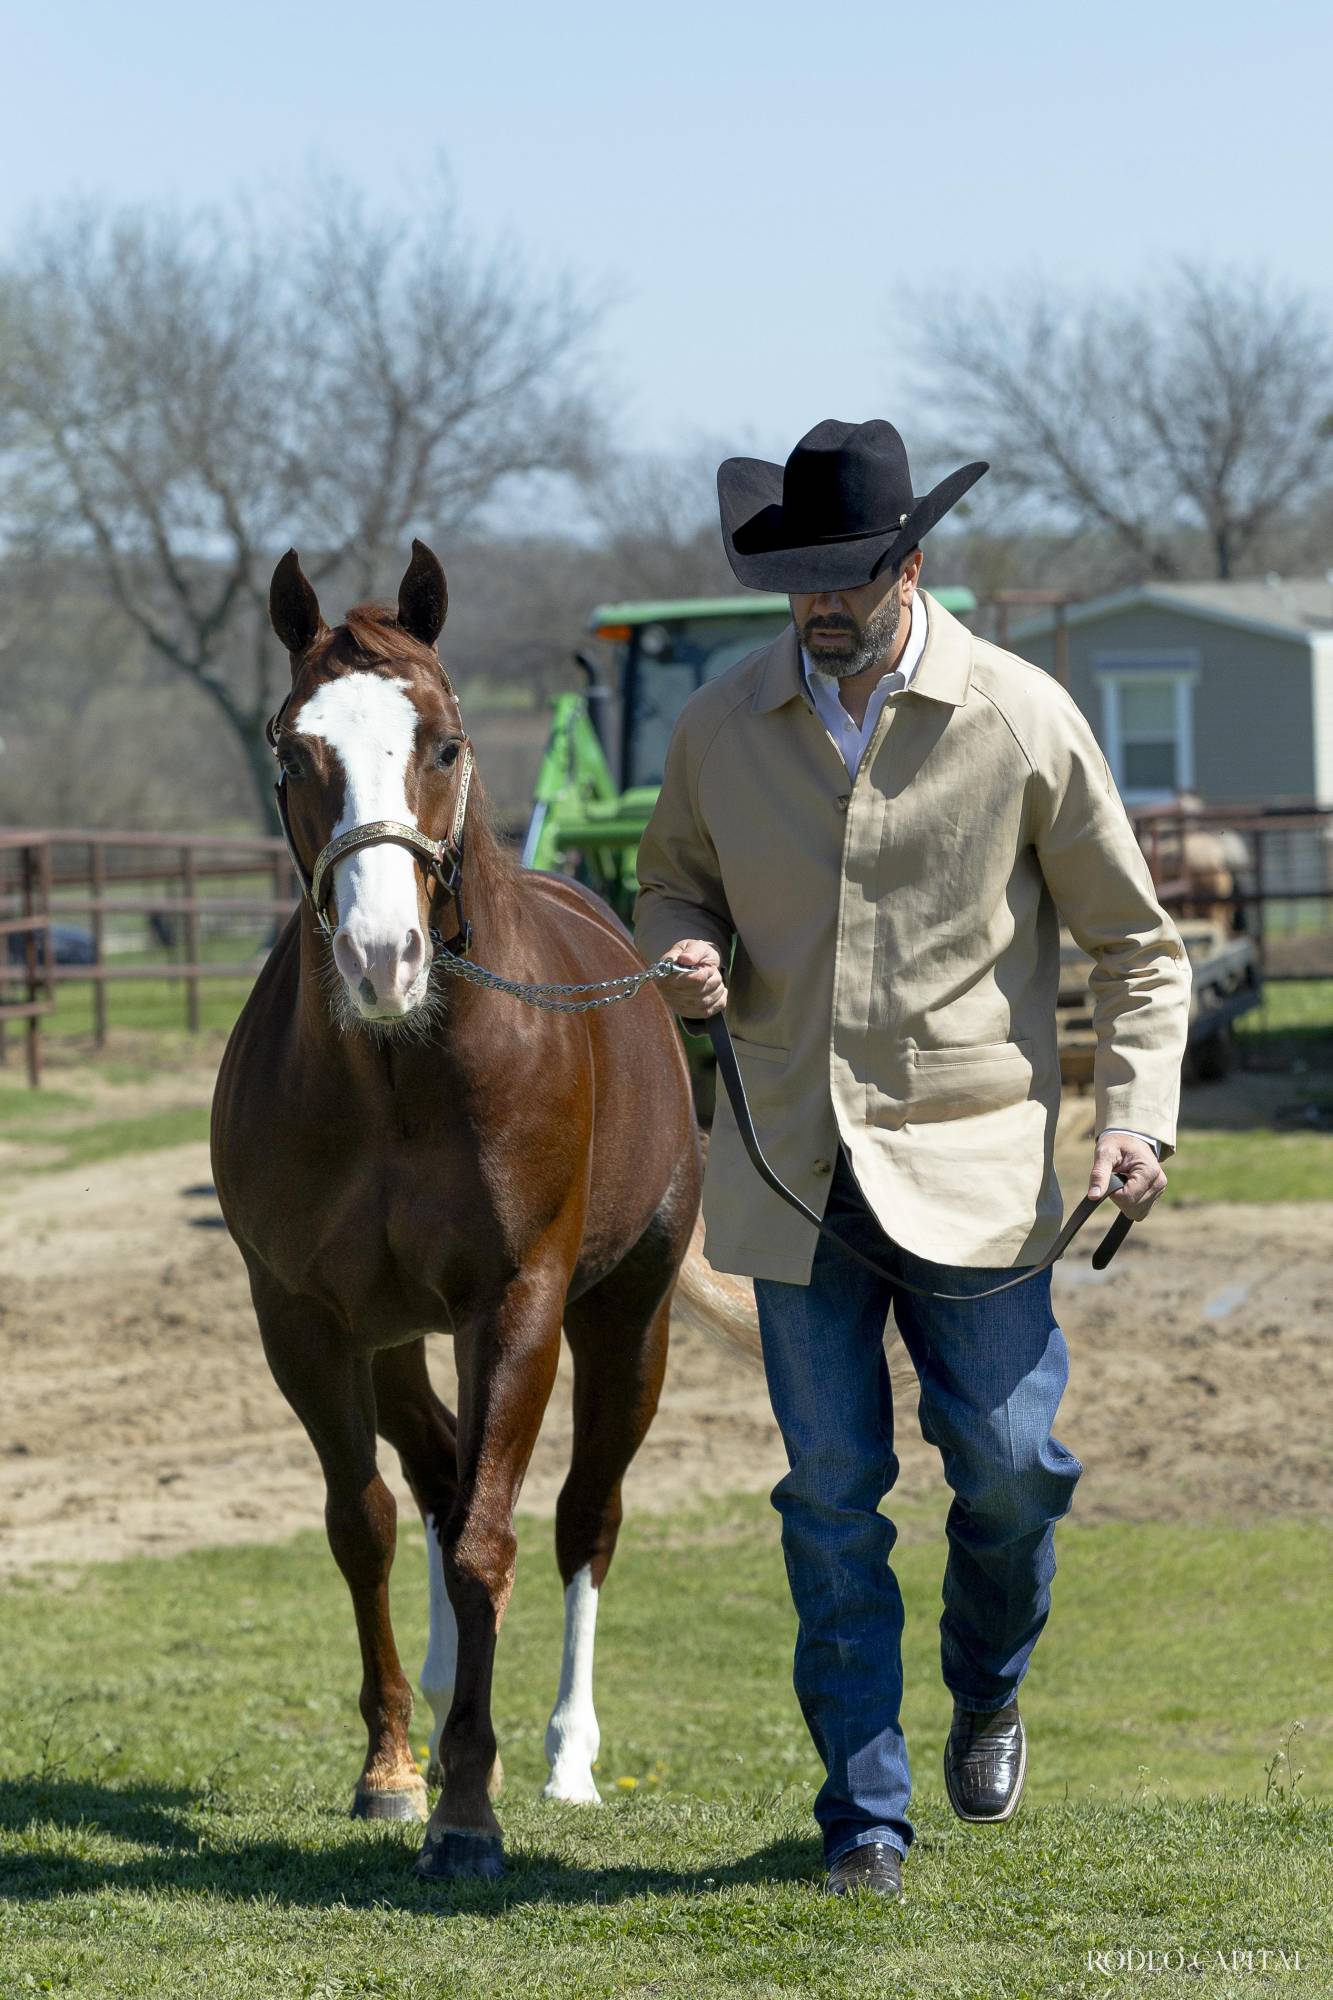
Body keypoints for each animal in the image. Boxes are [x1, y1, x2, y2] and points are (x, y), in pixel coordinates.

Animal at [211, 541, 703, 1881]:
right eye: (293, 751)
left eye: (442, 741)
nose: (384, 957)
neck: (400, 1071)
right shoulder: (306, 1321)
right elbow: (367, 1523)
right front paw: (392, 1767)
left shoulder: (515, 1306)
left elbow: (492, 1536)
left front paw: (470, 1810)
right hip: (390, 1341)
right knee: (428, 1476)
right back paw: (434, 1713)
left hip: (627, 1321)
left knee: (587, 1516)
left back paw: (567, 1753)